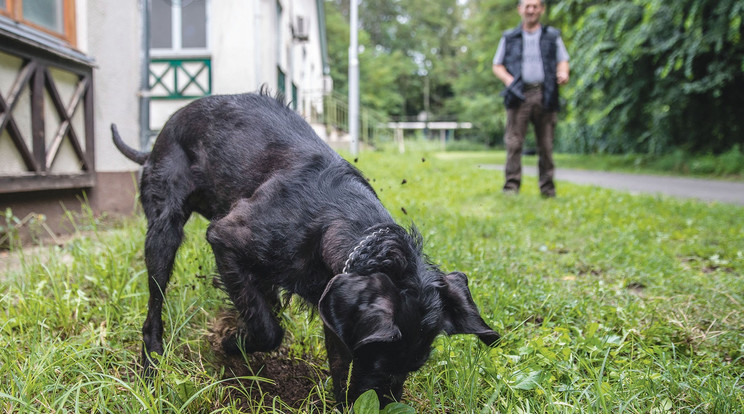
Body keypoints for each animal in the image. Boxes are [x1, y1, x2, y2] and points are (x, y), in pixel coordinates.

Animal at [112, 90, 500, 404]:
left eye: (414, 367)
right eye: (380, 360)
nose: (386, 404)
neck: (336, 219)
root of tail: (162, 133)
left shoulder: (335, 310)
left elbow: (335, 365)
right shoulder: (225, 238)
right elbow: (268, 330)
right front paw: (231, 343)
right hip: (163, 232)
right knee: (155, 303)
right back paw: (151, 363)